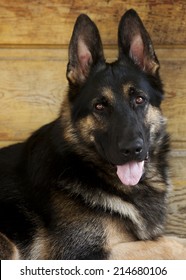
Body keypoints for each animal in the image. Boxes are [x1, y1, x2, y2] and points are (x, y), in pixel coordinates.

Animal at [0, 9, 186, 260]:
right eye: (99, 106)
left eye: (139, 99)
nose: (132, 149)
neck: (86, 166)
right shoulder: (81, 253)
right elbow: (171, 243)